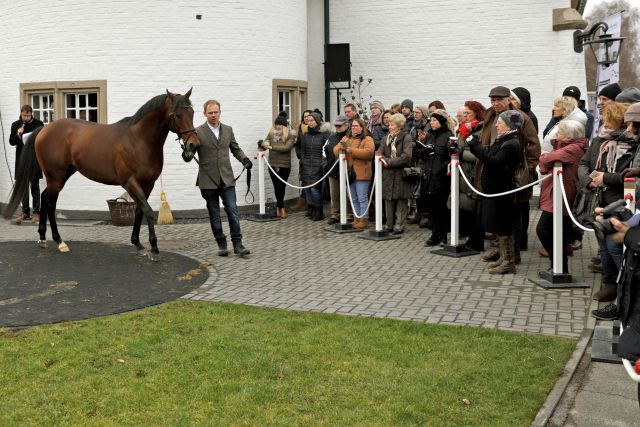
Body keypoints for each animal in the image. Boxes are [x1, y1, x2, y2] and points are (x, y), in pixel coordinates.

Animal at [3, 89, 200, 260]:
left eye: (192, 113)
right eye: (177, 115)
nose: (193, 145)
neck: (139, 139)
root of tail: (44, 129)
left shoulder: (147, 184)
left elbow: (140, 211)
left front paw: (138, 244)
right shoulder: (130, 183)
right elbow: (149, 212)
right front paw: (154, 249)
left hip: (62, 176)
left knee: (44, 199)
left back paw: (43, 238)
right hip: (55, 177)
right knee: (50, 203)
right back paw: (59, 241)